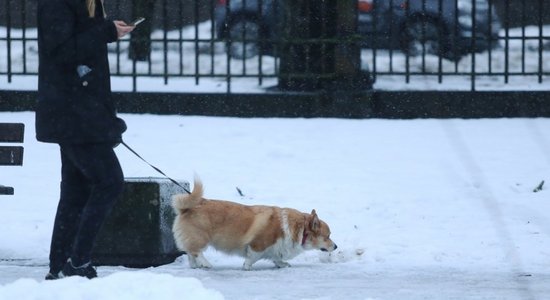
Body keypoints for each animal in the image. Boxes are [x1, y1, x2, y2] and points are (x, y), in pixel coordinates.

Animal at [172, 179, 338, 270]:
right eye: (327, 236)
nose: (336, 247)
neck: (300, 229)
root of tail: (187, 207)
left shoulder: (276, 249)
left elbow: (277, 258)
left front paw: (282, 264)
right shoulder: (258, 245)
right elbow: (252, 258)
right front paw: (247, 267)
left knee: (190, 253)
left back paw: (195, 265)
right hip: (201, 238)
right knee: (196, 251)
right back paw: (206, 264)